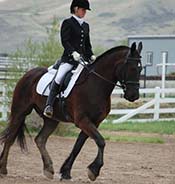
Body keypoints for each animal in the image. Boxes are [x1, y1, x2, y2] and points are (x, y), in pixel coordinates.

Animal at [0, 42, 142, 181]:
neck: (96, 84)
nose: (133, 95)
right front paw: (94, 170)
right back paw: (3, 168)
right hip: (20, 112)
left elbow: (78, 146)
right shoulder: (82, 120)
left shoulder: (94, 122)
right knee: (10, 138)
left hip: (51, 120)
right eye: (131, 68)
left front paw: (66, 172)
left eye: (140, 69)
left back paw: (48, 169)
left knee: (40, 139)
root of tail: (28, 74)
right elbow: (101, 141)